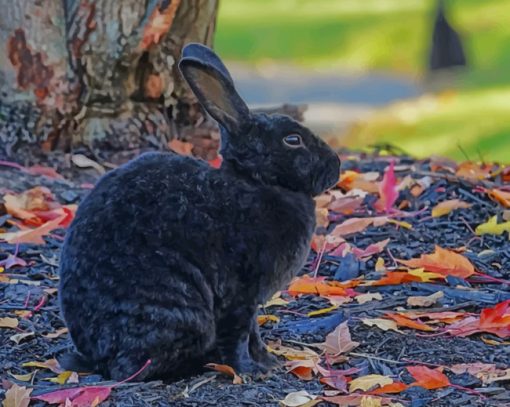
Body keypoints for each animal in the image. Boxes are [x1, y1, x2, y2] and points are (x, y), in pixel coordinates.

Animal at [57, 44, 340, 382]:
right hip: (180, 312)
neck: (255, 180)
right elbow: (240, 335)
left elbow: (254, 333)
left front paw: (269, 362)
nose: (336, 166)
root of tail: (96, 358)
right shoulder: (240, 294)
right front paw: (251, 371)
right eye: (293, 140)